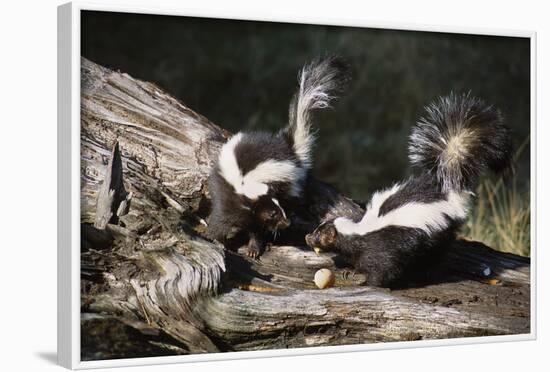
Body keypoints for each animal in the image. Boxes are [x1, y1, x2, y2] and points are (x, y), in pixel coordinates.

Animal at [207, 56, 350, 258]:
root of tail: (287, 147)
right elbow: (221, 219)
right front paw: (216, 238)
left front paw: (253, 248)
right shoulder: (227, 196)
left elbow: (256, 230)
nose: (285, 222)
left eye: (278, 208)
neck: (244, 186)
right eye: (272, 214)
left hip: (289, 182)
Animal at [306, 92, 512, 288]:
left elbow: (382, 270)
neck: (358, 231)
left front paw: (368, 282)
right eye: (317, 230)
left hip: (438, 234)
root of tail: (446, 188)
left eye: (320, 235)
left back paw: (423, 275)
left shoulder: (382, 248)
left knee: (434, 256)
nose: (308, 237)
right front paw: (351, 270)